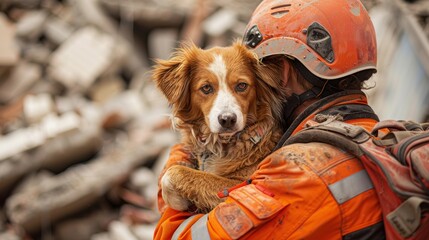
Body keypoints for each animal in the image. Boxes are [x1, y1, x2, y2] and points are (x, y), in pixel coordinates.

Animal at [151, 41, 284, 214]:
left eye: (242, 86)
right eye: (206, 88)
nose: (227, 119)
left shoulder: (237, 184)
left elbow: (173, 172)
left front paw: (180, 202)